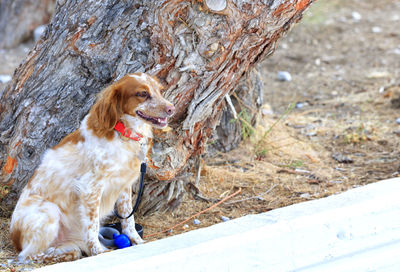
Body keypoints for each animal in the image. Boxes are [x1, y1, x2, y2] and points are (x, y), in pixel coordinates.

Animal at [9, 73, 174, 264]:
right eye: (142, 93)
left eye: (160, 90)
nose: (171, 109)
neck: (123, 133)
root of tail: (15, 237)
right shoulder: (91, 187)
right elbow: (92, 225)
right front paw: (98, 251)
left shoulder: (124, 185)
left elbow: (129, 219)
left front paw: (137, 242)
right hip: (49, 212)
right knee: (28, 256)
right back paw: (67, 254)